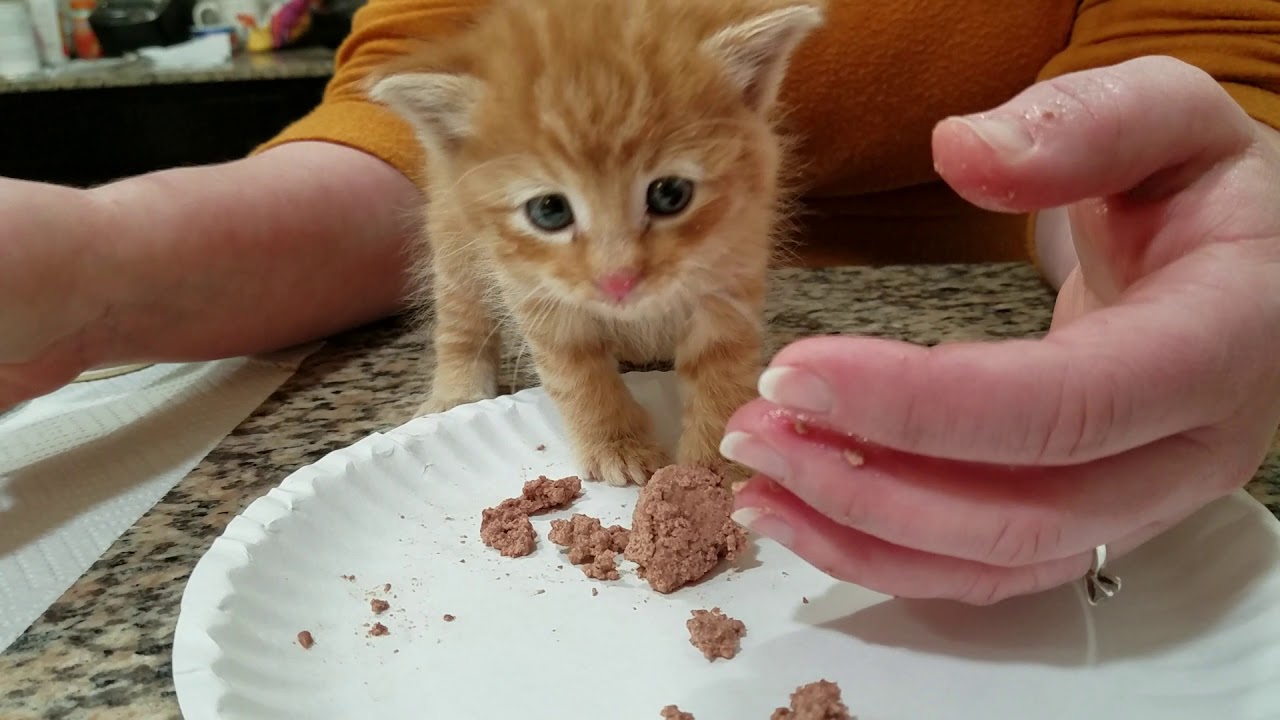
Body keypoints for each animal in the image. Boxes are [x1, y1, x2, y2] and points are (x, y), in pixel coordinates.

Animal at [366, 0, 824, 486]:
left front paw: (716, 465)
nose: (617, 281)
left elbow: (723, 362)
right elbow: (575, 368)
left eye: (670, 194)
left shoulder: (735, 256)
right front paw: (616, 444)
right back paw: (456, 391)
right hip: (452, 230)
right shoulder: (533, 285)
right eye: (549, 210)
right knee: (459, 311)